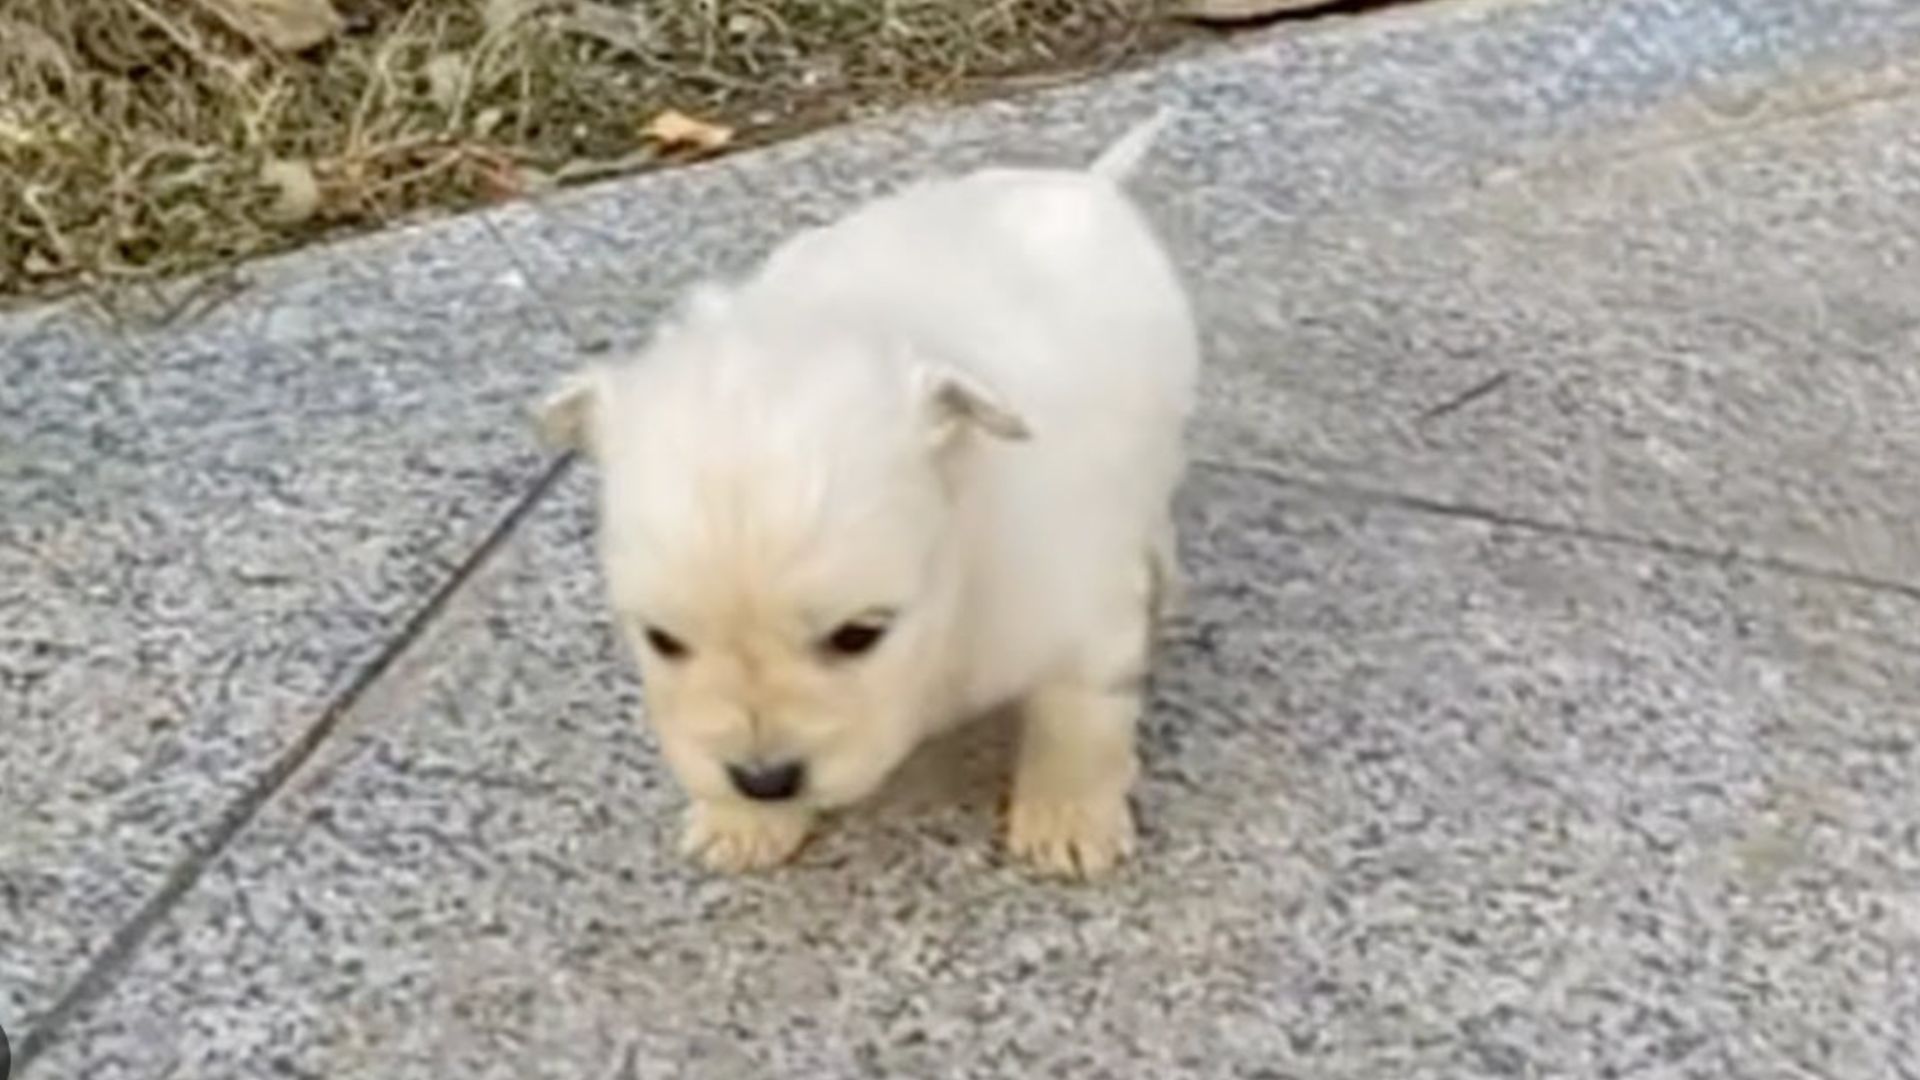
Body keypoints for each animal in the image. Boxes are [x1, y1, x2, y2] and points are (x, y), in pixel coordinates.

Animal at [541, 113, 1190, 880]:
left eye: (859, 635)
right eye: (662, 641)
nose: (764, 780)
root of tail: (1089, 183)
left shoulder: (1075, 607)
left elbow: (1078, 717)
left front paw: (1067, 817)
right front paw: (745, 821)